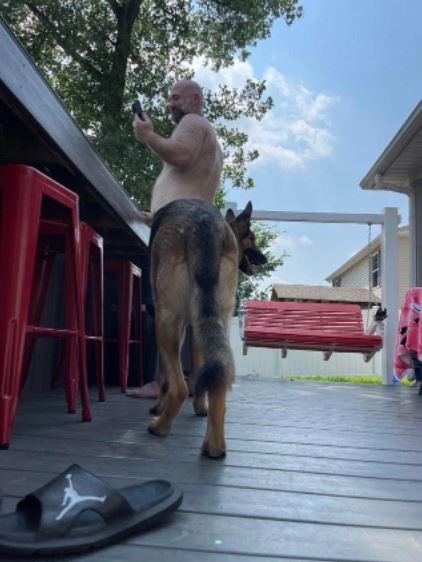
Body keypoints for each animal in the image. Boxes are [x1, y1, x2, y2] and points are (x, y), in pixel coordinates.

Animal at [147, 199, 267, 458]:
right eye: (252, 238)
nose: (265, 260)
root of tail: (204, 226)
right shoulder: (197, 329)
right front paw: (201, 407)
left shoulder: (179, 326)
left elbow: (166, 378)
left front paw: (158, 406)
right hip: (218, 320)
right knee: (219, 379)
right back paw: (215, 446)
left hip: (164, 321)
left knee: (179, 387)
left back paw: (161, 426)